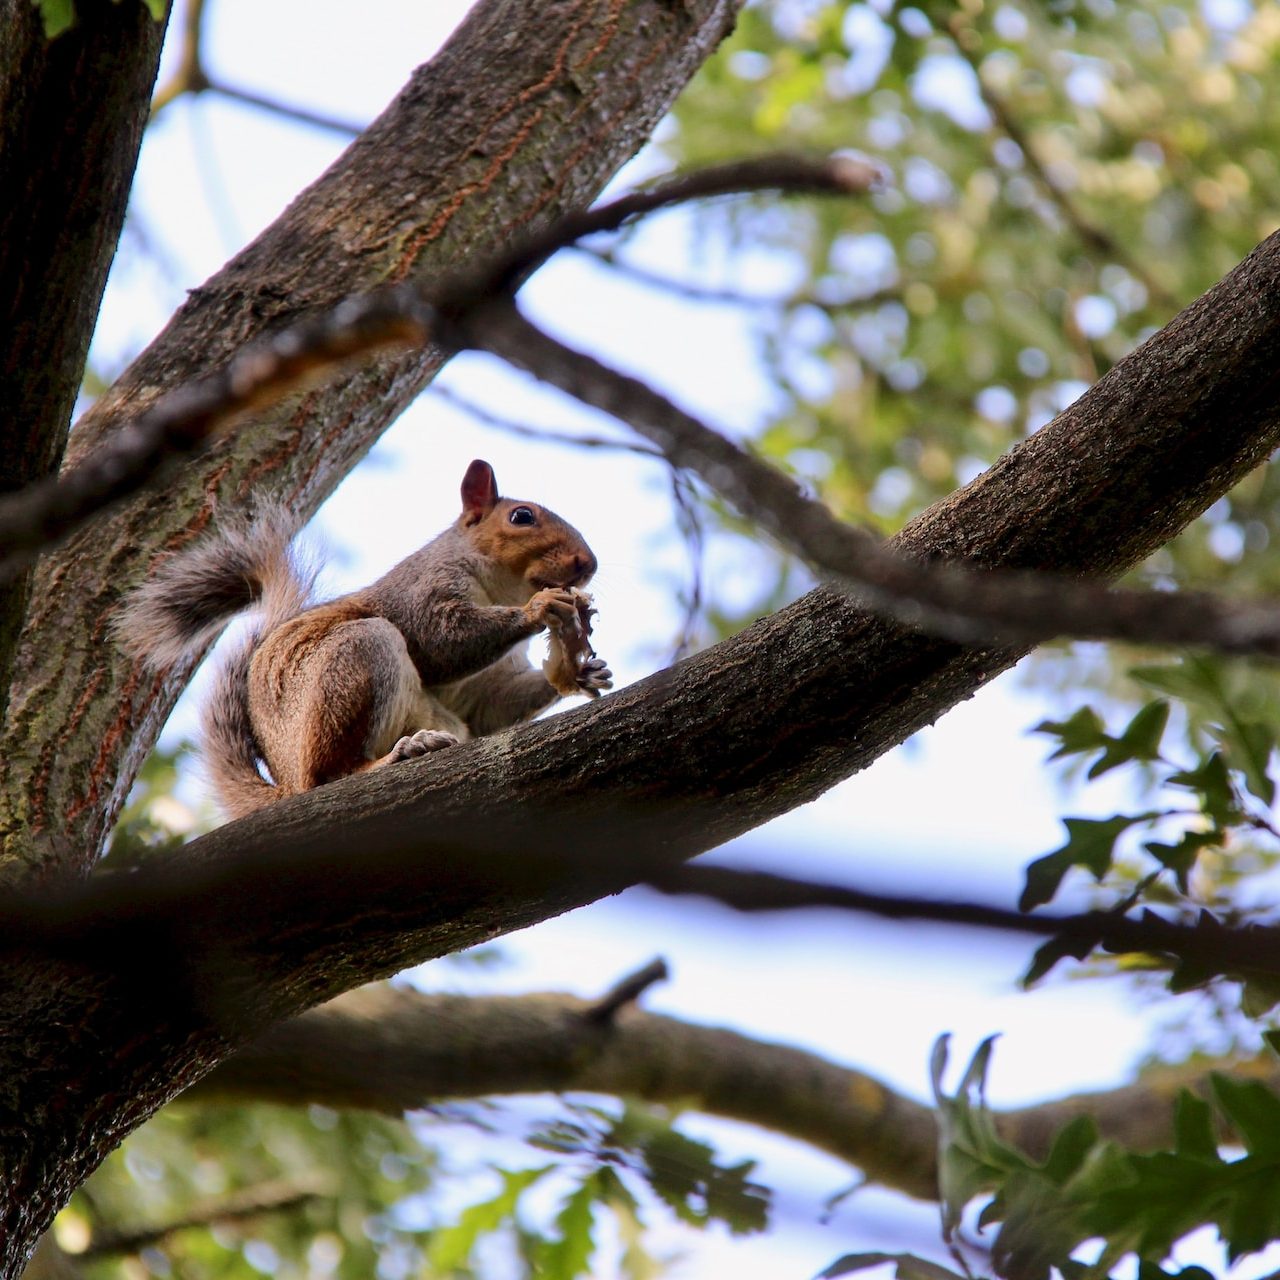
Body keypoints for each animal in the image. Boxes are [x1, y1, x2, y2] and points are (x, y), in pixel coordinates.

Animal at [122, 463, 611, 819]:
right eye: (522, 516)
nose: (588, 563)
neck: (500, 590)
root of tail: (286, 784)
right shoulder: (421, 592)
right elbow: (441, 642)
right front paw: (540, 607)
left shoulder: (487, 691)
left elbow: (494, 707)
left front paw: (580, 671)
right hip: (356, 660)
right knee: (331, 774)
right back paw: (394, 757)